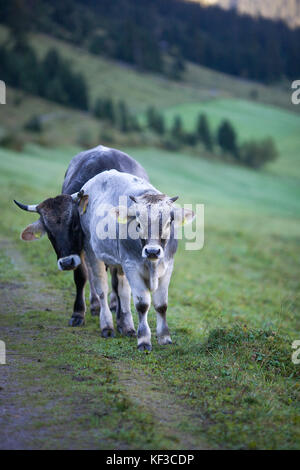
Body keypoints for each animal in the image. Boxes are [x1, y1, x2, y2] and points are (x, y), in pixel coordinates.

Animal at [77, 171, 195, 350]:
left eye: (169, 223)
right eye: (138, 224)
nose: (152, 251)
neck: (152, 264)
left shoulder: (168, 267)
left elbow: (161, 305)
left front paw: (165, 337)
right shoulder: (131, 266)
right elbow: (142, 304)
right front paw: (144, 339)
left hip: (119, 265)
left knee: (122, 292)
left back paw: (126, 326)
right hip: (91, 250)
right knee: (102, 290)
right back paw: (107, 326)